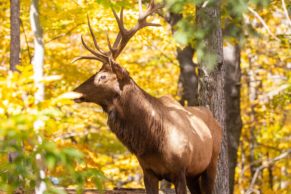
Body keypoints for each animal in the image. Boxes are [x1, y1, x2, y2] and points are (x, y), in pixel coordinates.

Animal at [72, 0, 222, 193]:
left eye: (103, 77)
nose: (75, 91)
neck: (154, 140)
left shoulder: (179, 170)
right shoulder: (148, 171)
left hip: (211, 163)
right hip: (193, 175)